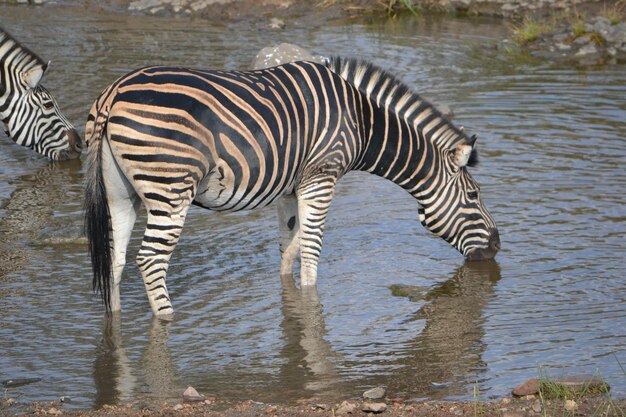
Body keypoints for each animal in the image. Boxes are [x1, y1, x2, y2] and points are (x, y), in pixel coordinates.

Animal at [85, 56, 500, 316]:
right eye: (474, 195)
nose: (497, 247)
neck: (362, 122)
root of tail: (113, 92)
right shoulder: (321, 176)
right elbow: (312, 249)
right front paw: (313, 306)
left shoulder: (289, 188)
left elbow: (289, 246)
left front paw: (291, 302)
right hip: (171, 189)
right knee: (151, 260)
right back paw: (167, 321)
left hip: (121, 193)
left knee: (116, 260)